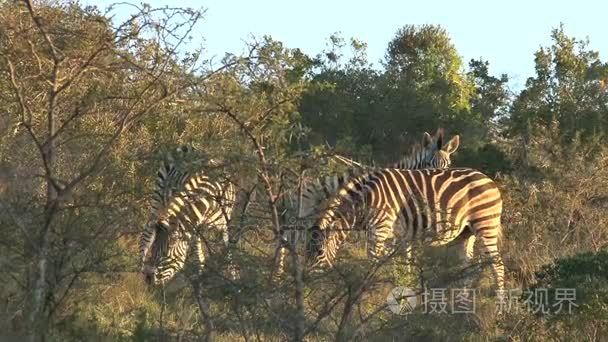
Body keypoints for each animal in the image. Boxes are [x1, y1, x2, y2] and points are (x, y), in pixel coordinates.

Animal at [140, 148, 238, 284]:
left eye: (166, 254)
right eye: (153, 249)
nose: (148, 279)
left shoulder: (221, 224)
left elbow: (227, 250)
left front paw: (232, 278)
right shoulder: (194, 225)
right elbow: (199, 258)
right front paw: (199, 281)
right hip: (157, 199)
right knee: (146, 233)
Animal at [306, 166, 506, 294]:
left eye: (320, 252)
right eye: (306, 252)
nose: (308, 283)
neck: (365, 201)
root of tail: (488, 179)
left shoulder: (379, 229)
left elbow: (372, 264)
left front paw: (367, 297)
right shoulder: (394, 235)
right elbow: (398, 266)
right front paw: (400, 293)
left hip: (485, 224)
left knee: (498, 265)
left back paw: (500, 308)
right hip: (465, 233)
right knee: (467, 269)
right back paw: (462, 307)